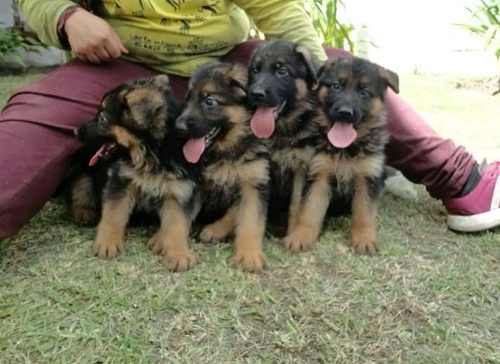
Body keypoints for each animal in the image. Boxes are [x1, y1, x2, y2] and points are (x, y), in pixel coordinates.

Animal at [69, 75, 201, 272]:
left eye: (102, 118)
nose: (75, 131)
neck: (149, 155)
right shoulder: (120, 180)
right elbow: (113, 214)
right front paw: (107, 243)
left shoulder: (178, 190)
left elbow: (177, 224)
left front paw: (178, 254)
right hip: (83, 167)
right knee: (80, 185)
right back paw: (83, 212)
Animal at [176, 62, 270, 272]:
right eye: (187, 100)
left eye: (209, 101)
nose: (178, 128)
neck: (227, 150)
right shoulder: (196, 185)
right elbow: (180, 217)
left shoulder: (254, 184)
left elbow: (249, 220)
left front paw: (249, 255)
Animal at [247, 39, 320, 250]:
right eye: (255, 70)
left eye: (282, 71)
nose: (255, 94)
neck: (280, 131)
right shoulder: (263, 166)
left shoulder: (301, 168)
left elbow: (296, 204)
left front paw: (293, 234)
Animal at [290, 57, 398, 253]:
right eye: (336, 86)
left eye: (364, 92)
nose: (345, 113)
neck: (346, 149)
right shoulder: (319, 174)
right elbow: (310, 210)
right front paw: (301, 236)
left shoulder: (367, 178)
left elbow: (364, 212)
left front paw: (364, 239)